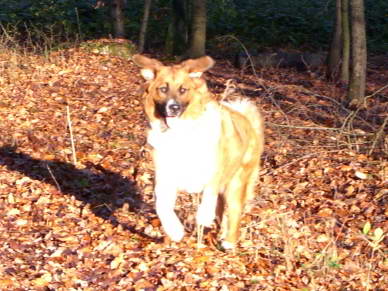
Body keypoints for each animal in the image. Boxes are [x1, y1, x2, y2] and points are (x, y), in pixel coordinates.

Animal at [133, 54, 264, 249]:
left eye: (183, 90)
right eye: (163, 89)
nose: (174, 108)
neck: (180, 134)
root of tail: (246, 118)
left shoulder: (213, 171)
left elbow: (208, 197)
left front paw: (203, 217)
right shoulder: (165, 177)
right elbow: (162, 206)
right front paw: (175, 231)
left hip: (236, 182)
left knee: (234, 209)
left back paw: (229, 241)